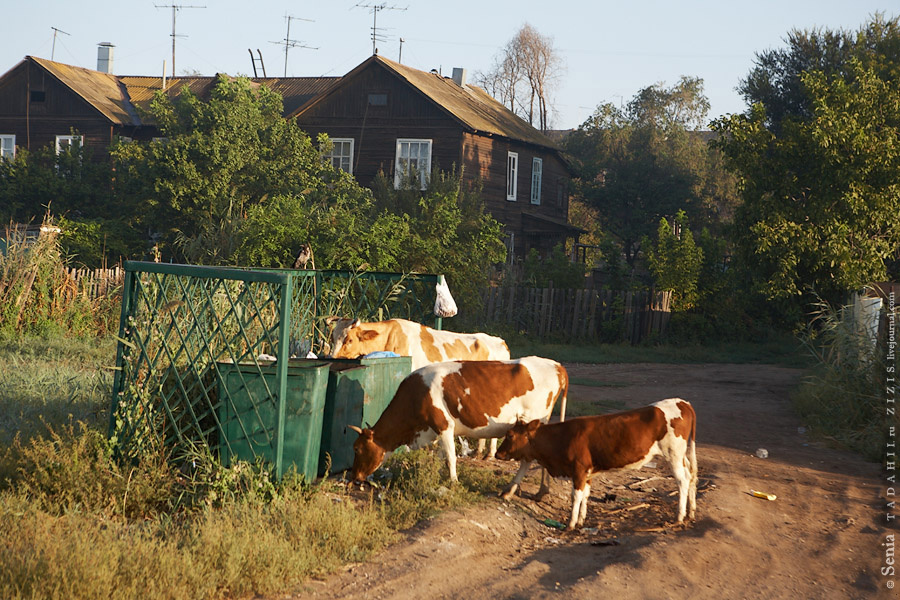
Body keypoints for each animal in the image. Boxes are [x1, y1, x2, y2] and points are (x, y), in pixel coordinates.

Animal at [330, 316, 512, 458]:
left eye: (349, 340)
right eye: (332, 338)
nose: (331, 357)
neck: (390, 338)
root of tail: (499, 341)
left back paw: (490, 453)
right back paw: (479, 451)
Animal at [348, 356, 568, 492]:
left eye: (357, 448)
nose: (355, 476)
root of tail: (557, 365)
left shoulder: (444, 426)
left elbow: (450, 459)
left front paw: (453, 483)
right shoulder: (437, 431)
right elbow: (439, 458)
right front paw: (433, 477)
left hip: (531, 424)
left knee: (529, 459)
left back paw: (512, 489)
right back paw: (541, 491)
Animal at [496, 398, 700, 528]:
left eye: (510, 435)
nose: (498, 453)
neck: (563, 437)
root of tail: (683, 402)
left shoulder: (578, 470)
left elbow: (576, 496)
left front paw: (571, 524)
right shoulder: (588, 472)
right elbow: (585, 495)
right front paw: (581, 520)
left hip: (673, 453)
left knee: (682, 480)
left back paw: (679, 516)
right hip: (682, 455)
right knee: (691, 476)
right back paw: (691, 512)